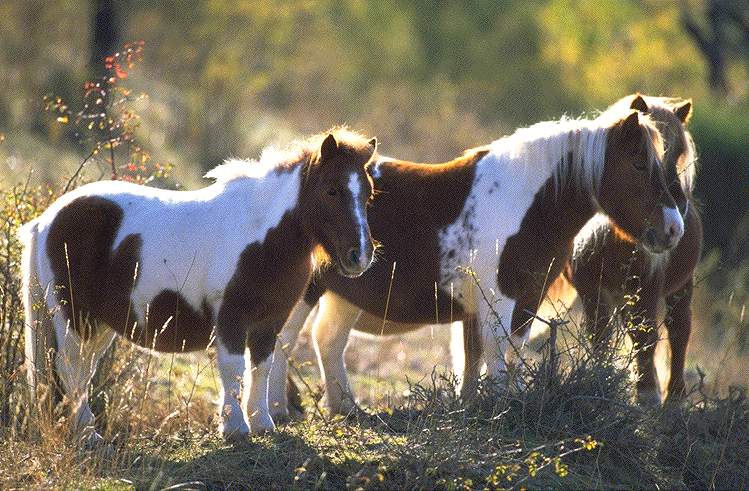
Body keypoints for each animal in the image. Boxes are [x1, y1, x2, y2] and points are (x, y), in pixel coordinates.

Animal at [21, 129, 380, 444]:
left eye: (368, 193)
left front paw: (262, 424)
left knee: (83, 370)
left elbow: (261, 368)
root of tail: (47, 219)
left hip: (98, 324)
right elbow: (234, 370)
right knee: (71, 369)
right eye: (332, 190)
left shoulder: (269, 322)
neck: (262, 235)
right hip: (72, 317)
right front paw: (235, 429)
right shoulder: (232, 318)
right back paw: (87, 435)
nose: (360, 256)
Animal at [270, 108, 684, 418]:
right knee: (283, 342)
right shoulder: (498, 299)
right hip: (307, 290)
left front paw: (479, 406)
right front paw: (499, 408)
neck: (524, 205)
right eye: (639, 164)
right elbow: (495, 356)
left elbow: (491, 357)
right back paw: (277, 411)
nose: (673, 228)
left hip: (344, 293)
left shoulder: (523, 299)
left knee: (327, 340)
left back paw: (346, 408)